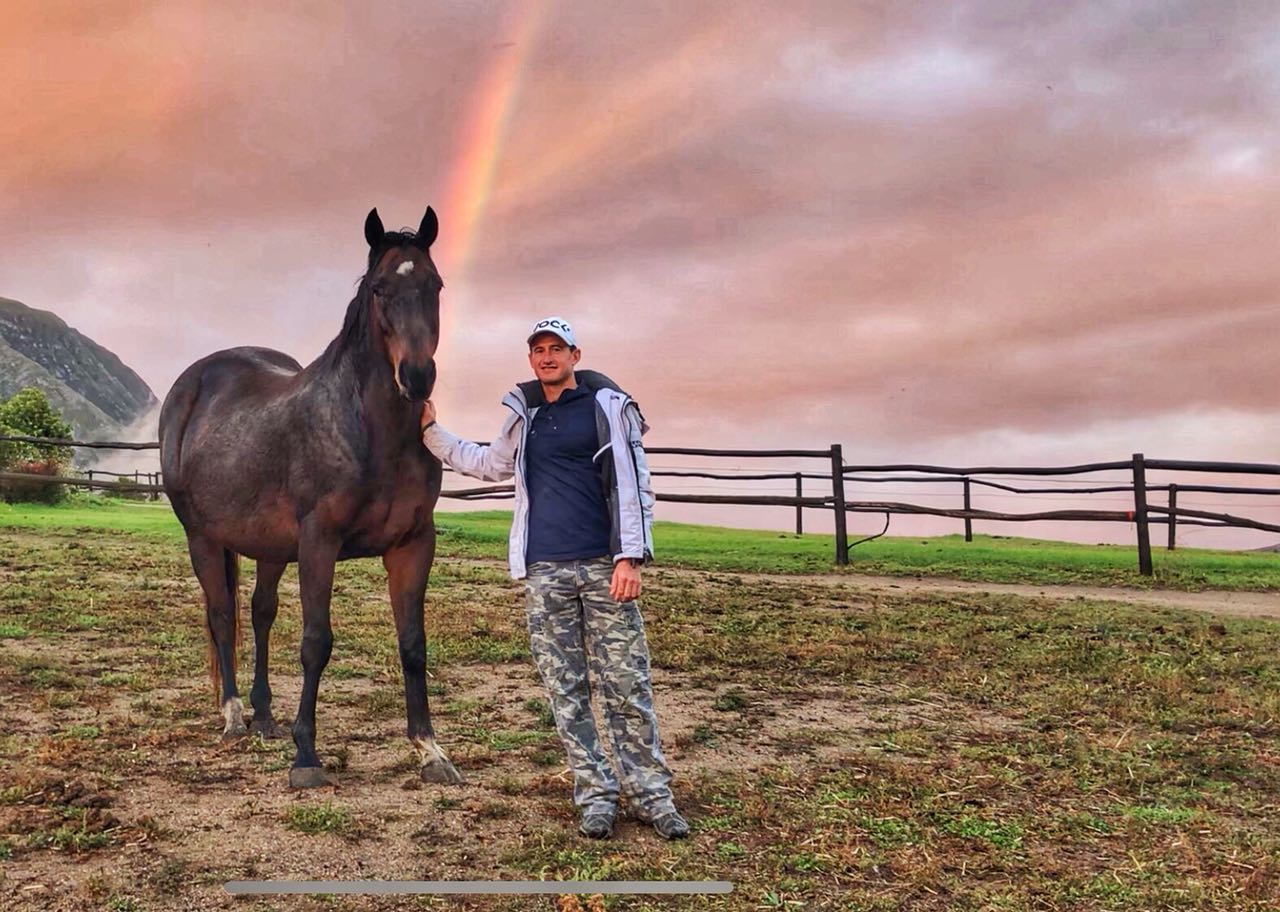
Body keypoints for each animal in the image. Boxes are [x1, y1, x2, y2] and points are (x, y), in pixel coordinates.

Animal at [157, 204, 463, 783]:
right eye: (380, 289)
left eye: (435, 285)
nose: (417, 377)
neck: (371, 434)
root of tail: (193, 383)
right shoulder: (320, 543)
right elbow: (316, 642)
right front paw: (306, 755)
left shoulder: (413, 544)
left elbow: (413, 644)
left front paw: (430, 749)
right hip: (201, 537)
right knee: (222, 615)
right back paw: (233, 716)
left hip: (271, 548)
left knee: (259, 612)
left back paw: (263, 715)